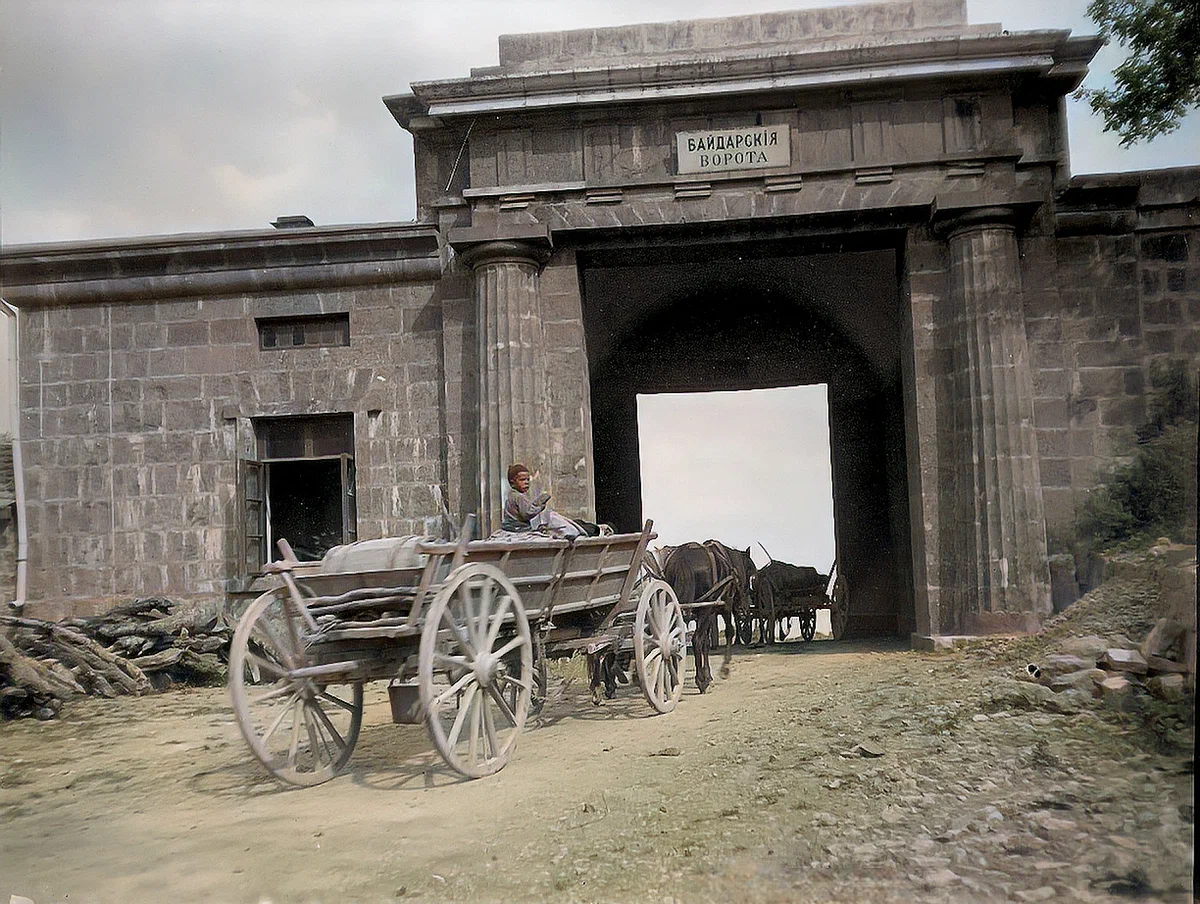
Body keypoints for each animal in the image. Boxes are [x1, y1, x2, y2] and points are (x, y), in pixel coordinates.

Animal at [662, 540, 753, 696]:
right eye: (751, 575)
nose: (744, 609)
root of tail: (682, 558)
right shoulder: (724, 605)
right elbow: (729, 632)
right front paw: (724, 669)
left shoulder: (710, 613)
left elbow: (706, 642)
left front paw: (708, 675)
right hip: (704, 608)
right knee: (696, 639)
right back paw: (700, 681)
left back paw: (675, 680)